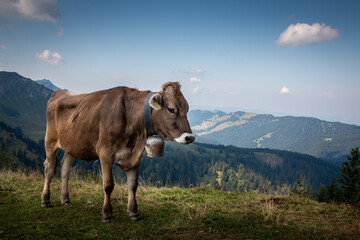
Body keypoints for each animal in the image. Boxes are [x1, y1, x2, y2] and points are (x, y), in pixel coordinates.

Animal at [40, 81, 195, 222]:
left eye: (187, 109)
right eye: (171, 109)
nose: (190, 137)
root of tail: (59, 93)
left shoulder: (135, 156)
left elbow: (133, 185)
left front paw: (133, 212)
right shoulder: (105, 153)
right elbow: (108, 185)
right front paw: (107, 214)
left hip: (71, 145)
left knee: (65, 169)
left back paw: (65, 199)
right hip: (50, 140)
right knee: (49, 168)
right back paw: (45, 200)